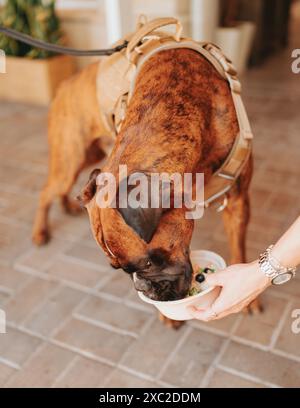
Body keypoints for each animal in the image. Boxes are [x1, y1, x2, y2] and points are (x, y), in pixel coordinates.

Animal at [32, 47, 260, 328]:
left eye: (150, 262)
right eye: (121, 270)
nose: (143, 288)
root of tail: (65, 84)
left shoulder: (237, 201)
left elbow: (239, 250)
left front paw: (245, 295)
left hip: (84, 159)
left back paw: (65, 207)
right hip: (70, 160)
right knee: (46, 191)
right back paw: (40, 232)